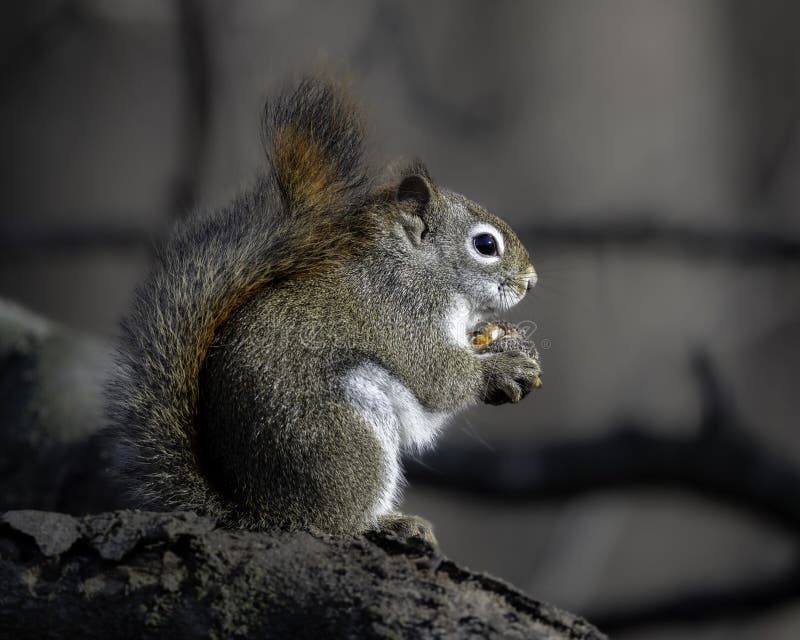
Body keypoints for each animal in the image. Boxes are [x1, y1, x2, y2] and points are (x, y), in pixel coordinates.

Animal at [106, 76, 540, 542]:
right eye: (485, 244)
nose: (531, 281)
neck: (419, 269)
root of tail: (261, 511)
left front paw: (505, 338)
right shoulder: (402, 314)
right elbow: (439, 378)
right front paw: (501, 369)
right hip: (347, 437)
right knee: (337, 522)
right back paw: (388, 522)